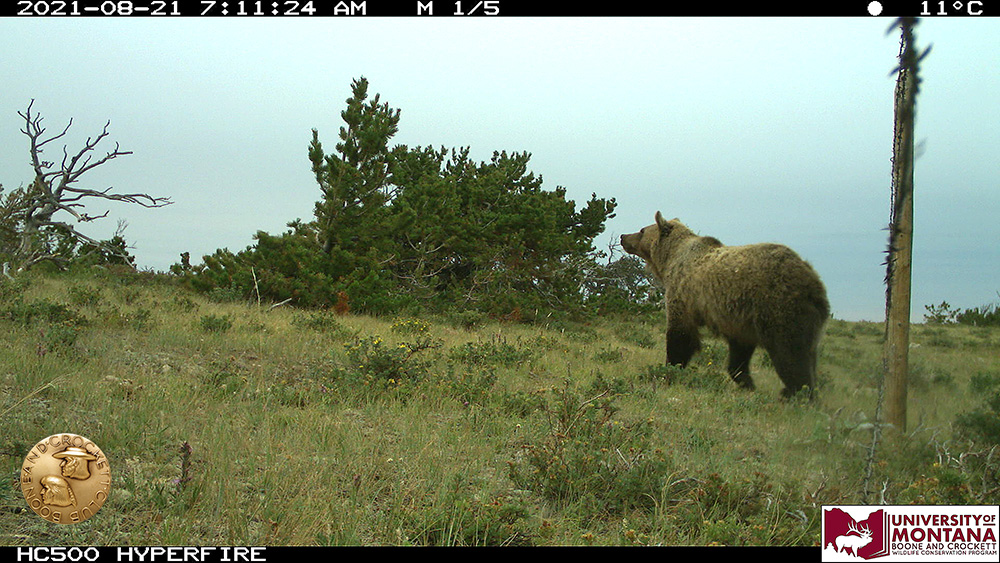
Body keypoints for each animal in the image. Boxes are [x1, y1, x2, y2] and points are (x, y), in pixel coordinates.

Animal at [620, 211, 829, 399]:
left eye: (642, 230)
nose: (623, 237)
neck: (669, 259)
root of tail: (813, 282)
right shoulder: (739, 319)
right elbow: (739, 352)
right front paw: (746, 381)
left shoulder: (683, 294)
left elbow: (680, 336)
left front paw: (669, 370)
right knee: (809, 353)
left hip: (779, 307)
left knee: (790, 353)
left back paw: (796, 392)